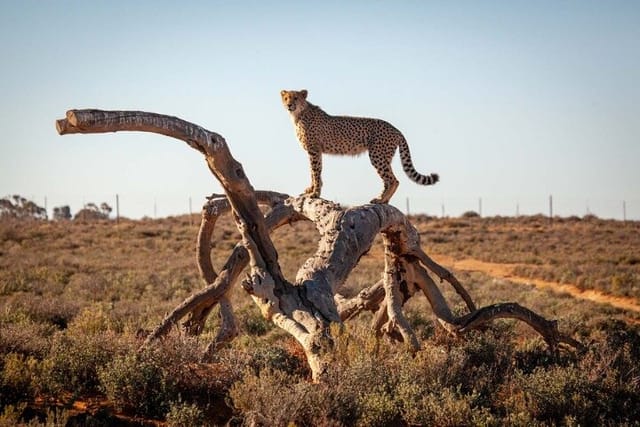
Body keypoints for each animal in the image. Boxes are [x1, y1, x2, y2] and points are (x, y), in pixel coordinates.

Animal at [280, 88, 440, 204]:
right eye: (286, 98)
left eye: (296, 98)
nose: (289, 105)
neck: (299, 114)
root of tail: (396, 129)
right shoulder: (315, 151)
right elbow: (313, 172)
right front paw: (310, 190)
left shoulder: (314, 150)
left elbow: (315, 171)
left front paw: (315, 193)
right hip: (385, 157)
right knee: (388, 180)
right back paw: (384, 200)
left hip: (377, 155)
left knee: (393, 180)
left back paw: (380, 199)